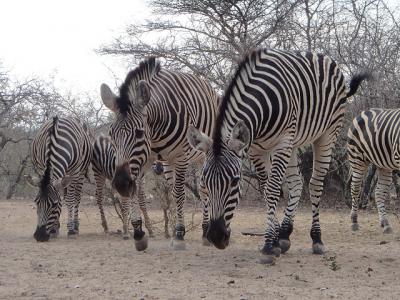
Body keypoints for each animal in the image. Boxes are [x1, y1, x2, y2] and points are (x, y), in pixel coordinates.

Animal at [100, 56, 219, 251]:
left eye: (139, 133)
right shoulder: (145, 160)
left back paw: (204, 232)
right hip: (167, 162)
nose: (120, 184)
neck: (155, 133)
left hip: (202, 153)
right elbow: (138, 192)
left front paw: (179, 236)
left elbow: (180, 194)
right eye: (111, 134)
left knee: (203, 190)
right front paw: (139, 233)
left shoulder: (180, 157)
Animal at [188, 48, 368, 264]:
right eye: (204, 182)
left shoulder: (282, 142)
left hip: (327, 134)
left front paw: (267, 246)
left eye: (235, 182)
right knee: (297, 183)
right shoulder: (257, 148)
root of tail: (323, 57)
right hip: (294, 142)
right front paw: (274, 241)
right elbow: (267, 190)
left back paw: (317, 239)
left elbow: (273, 189)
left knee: (315, 184)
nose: (216, 237)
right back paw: (284, 235)